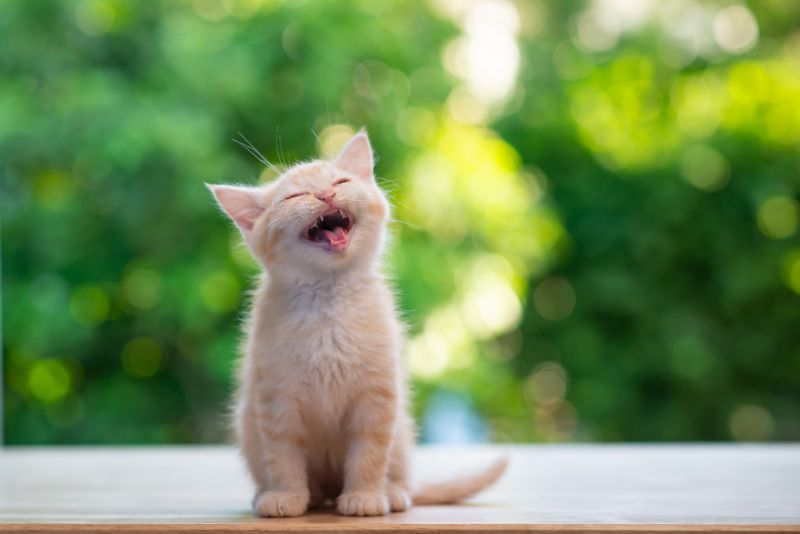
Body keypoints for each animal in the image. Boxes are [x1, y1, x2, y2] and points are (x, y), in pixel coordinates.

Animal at [206, 131, 506, 520]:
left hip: (402, 432)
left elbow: (369, 453)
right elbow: (282, 454)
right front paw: (286, 496)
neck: (328, 302)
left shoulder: (377, 396)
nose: (324, 195)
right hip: (248, 424)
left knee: (401, 476)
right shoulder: (274, 397)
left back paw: (393, 491)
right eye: (294, 196)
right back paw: (285, 494)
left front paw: (364, 497)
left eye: (340, 182)